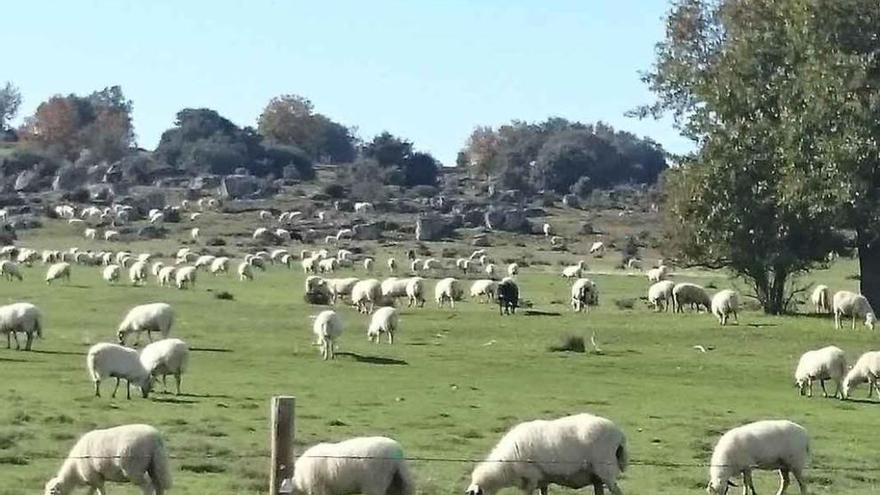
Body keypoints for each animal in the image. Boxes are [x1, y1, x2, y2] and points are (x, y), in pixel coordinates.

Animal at [44, 424, 174, 495]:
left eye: (51, 493)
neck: (74, 471)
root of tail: (156, 438)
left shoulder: (95, 477)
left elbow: (101, 491)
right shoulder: (95, 477)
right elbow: (91, 492)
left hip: (134, 468)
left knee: (148, 486)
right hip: (156, 464)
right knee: (159, 485)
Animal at [464, 412, 628, 495]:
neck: (505, 467)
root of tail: (620, 434)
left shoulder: (530, 478)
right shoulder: (542, 479)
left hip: (605, 469)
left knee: (617, 492)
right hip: (597, 476)